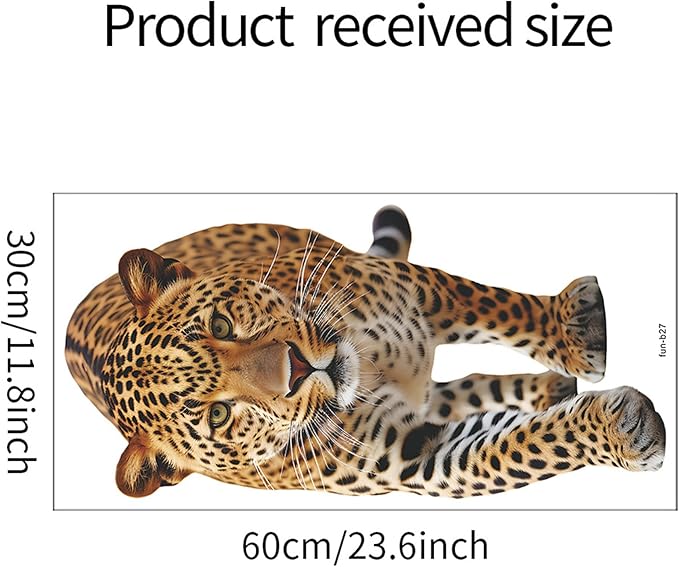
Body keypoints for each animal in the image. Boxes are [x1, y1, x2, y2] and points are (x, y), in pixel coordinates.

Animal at [64, 205, 665, 498]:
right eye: (217, 415)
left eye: (221, 323)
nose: (298, 368)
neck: (370, 363)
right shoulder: (420, 455)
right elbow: (520, 448)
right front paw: (622, 430)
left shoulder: (414, 285)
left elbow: (500, 307)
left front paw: (575, 331)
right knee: (458, 393)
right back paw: (550, 390)